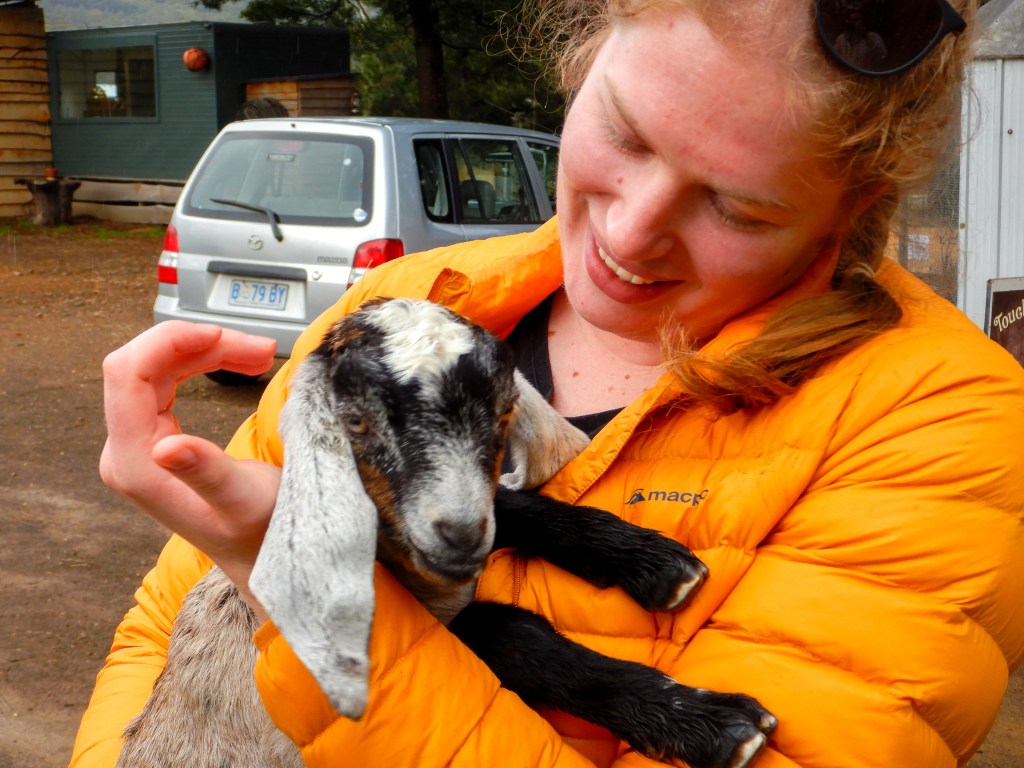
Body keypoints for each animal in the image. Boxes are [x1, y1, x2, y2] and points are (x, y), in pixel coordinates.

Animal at [116, 298, 776, 768]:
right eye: (355, 421)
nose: (459, 536)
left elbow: (515, 510)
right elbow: (515, 635)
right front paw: (714, 725)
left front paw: (656, 564)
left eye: (504, 412)